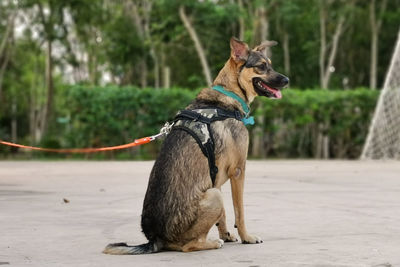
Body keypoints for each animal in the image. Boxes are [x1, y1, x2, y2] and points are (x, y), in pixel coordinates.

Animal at [102, 37, 288, 255]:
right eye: (261, 66)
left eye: (270, 64)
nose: (287, 80)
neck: (227, 95)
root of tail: (155, 239)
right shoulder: (238, 171)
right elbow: (239, 211)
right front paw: (246, 237)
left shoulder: (215, 175)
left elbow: (224, 215)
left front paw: (227, 234)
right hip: (214, 196)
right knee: (187, 246)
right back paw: (211, 243)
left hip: (214, 192)